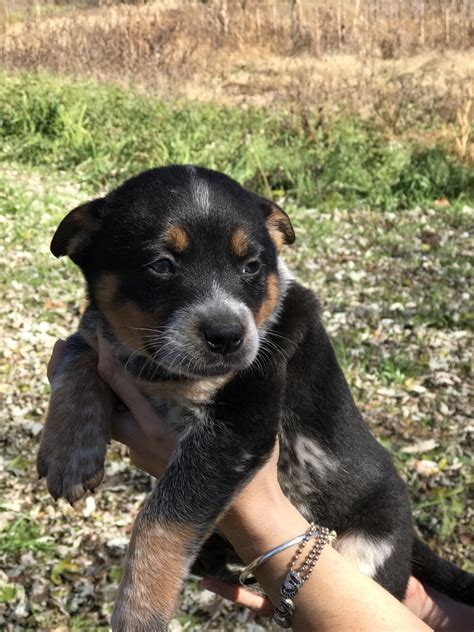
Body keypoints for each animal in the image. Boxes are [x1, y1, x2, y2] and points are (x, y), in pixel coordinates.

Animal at [38, 165, 474, 628]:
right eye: (161, 265)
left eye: (251, 267)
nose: (227, 335)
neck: (167, 373)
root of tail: (411, 540)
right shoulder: (109, 351)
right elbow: (78, 354)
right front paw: (69, 454)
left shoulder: (241, 422)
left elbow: (164, 515)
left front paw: (140, 608)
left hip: (367, 551)